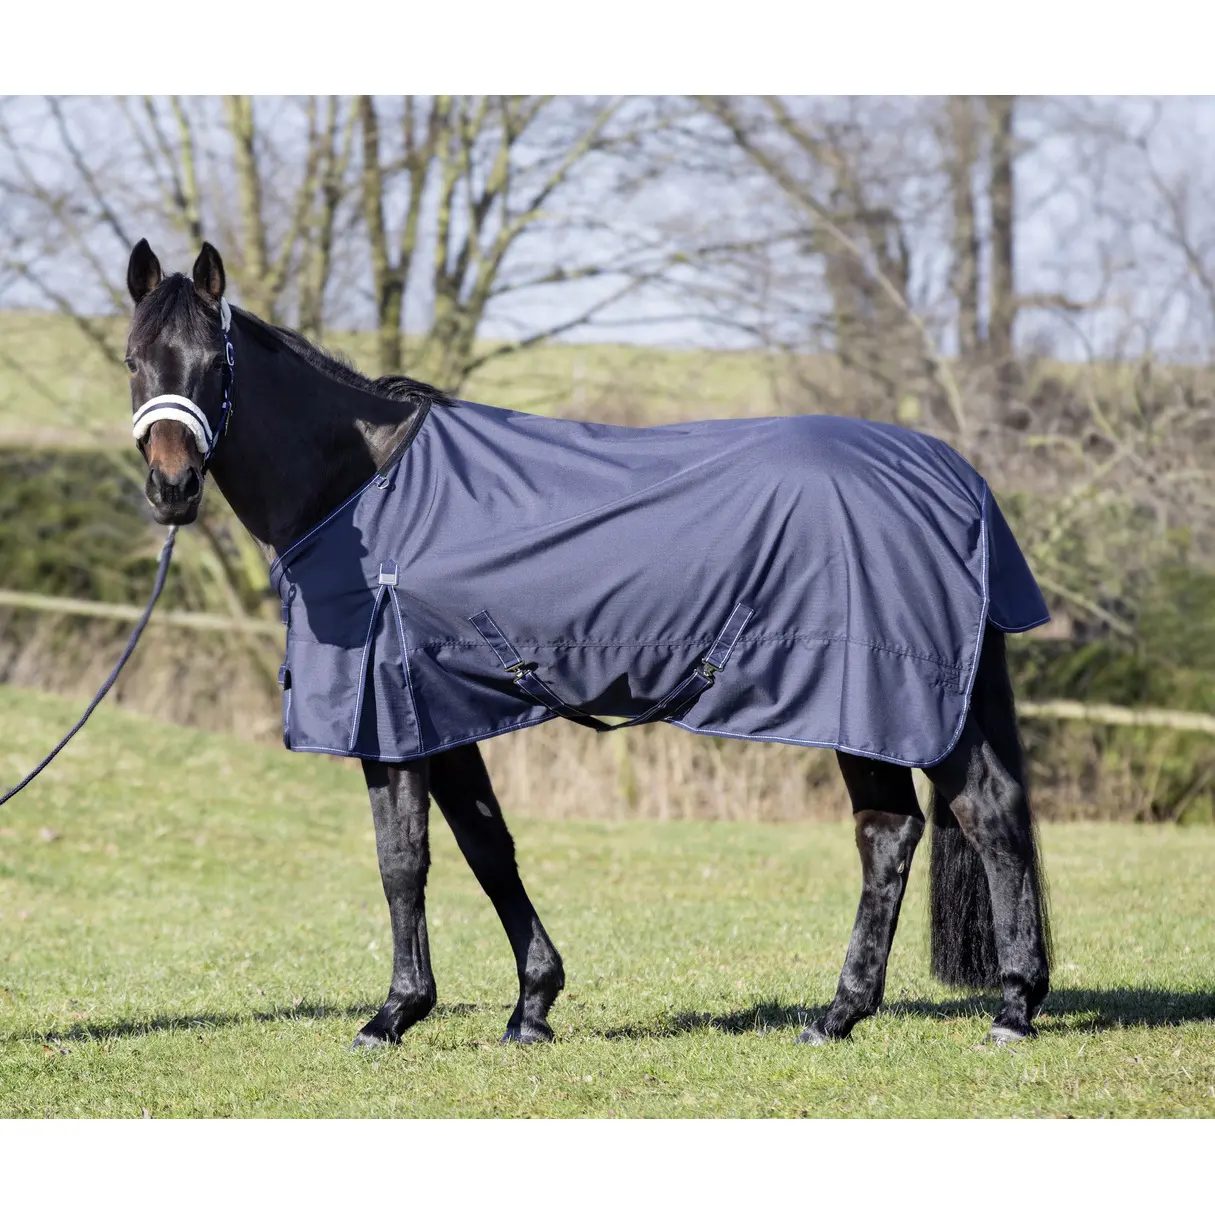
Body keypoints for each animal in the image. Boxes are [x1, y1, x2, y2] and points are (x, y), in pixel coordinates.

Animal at [122, 238, 1051, 1050]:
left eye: (214, 364)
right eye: (134, 360)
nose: (172, 489)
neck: (362, 486)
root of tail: (955, 478)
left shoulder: (387, 718)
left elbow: (402, 860)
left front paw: (391, 1015)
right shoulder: (441, 715)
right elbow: (487, 849)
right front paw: (530, 1006)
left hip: (887, 698)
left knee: (982, 815)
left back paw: (1010, 1007)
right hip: (874, 708)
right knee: (891, 833)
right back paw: (840, 1014)